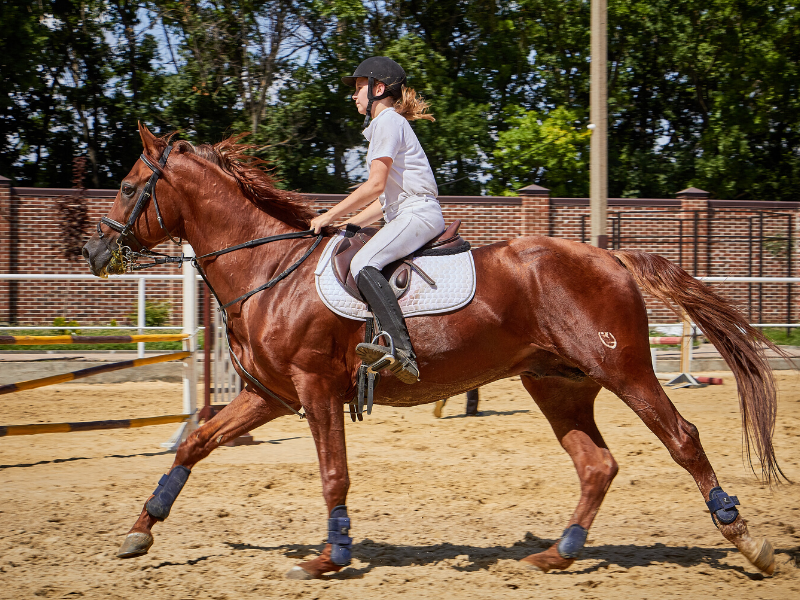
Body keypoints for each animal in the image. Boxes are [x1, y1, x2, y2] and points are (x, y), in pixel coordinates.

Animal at [84, 123, 784, 580]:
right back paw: (558, 552)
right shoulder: (272, 396)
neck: (268, 270)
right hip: (558, 383)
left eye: (127, 187)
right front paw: (141, 529)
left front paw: (329, 557)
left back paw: (747, 542)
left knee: (683, 439)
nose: (93, 252)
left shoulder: (315, 390)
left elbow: (333, 473)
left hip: (624, 369)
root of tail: (608, 255)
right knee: (596, 465)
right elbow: (196, 443)